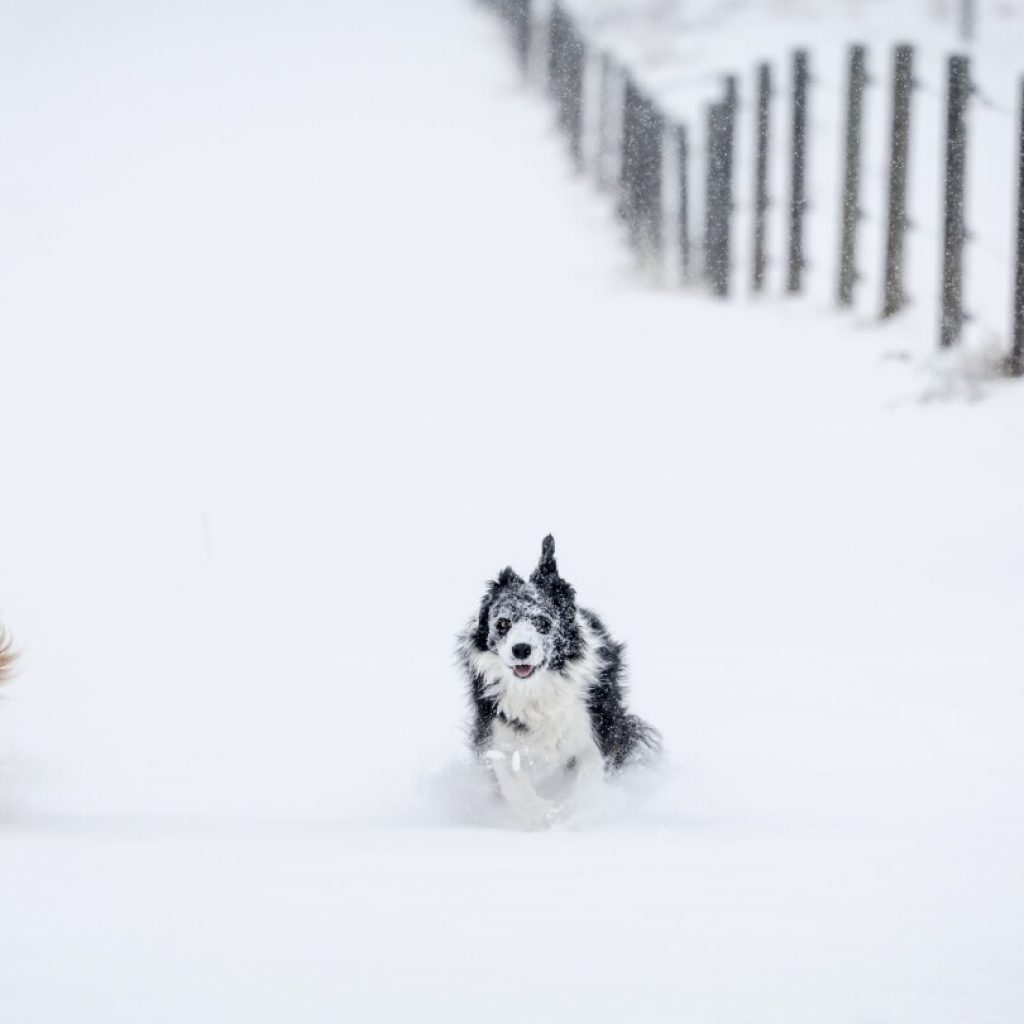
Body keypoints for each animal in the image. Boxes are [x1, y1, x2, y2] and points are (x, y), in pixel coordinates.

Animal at [460, 536, 659, 823]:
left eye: (543, 622)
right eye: (502, 624)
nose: (521, 649)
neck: (537, 689)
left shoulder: (595, 724)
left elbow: (590, 770)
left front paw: (578, 814)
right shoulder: (495, 727)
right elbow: (510, 776)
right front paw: (539, 814)